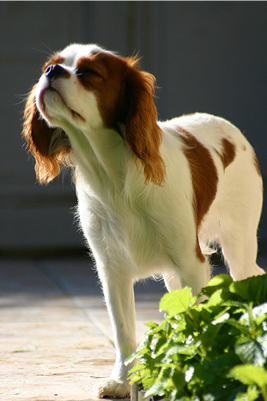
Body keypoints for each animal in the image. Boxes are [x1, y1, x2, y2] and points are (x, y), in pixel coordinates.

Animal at [23, 44, 266, 396]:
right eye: (50, 65)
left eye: (88, 72)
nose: (51, 73)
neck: (113, 176)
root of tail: (229, 127)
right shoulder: (112, 270)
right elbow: (124, 333)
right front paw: (122, 381)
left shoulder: (191, 262)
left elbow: (197, 326)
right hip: (174, 275)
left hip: (239, 249)